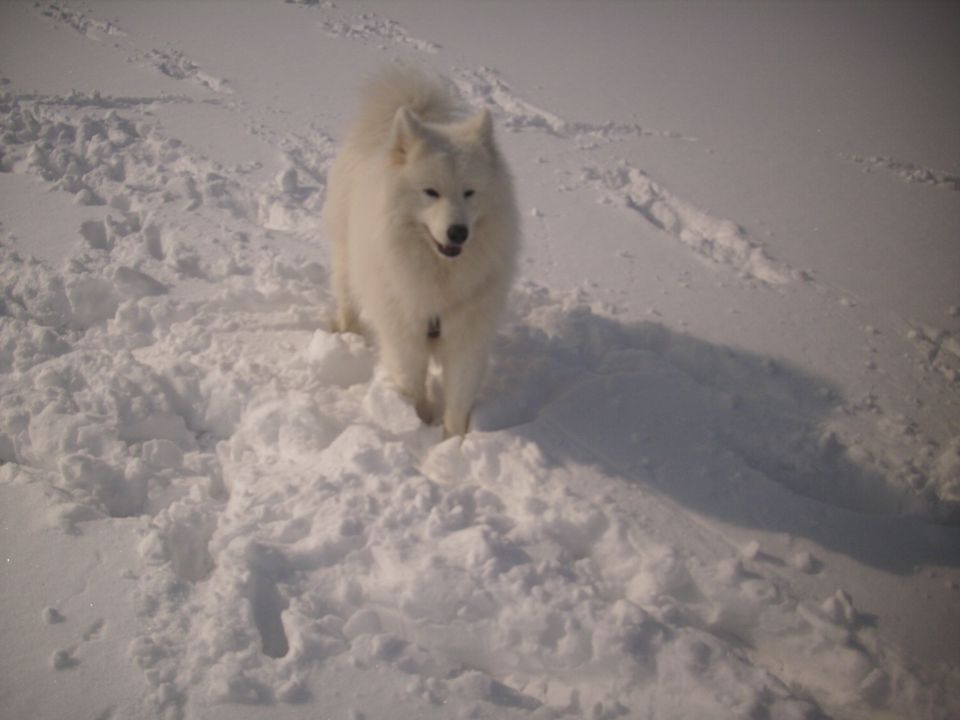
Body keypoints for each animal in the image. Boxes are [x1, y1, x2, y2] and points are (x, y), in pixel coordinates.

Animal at [324, 69, 520, 438]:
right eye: (431, 192)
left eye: (469, 192)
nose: (458, 232)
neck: (439, 277)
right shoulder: (405, 336)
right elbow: (412, 387)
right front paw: (416, 423)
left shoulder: (467, 339)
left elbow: (458, 401)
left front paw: (452, 443)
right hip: (346, 257)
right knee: (347, 298)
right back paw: (348, 334)